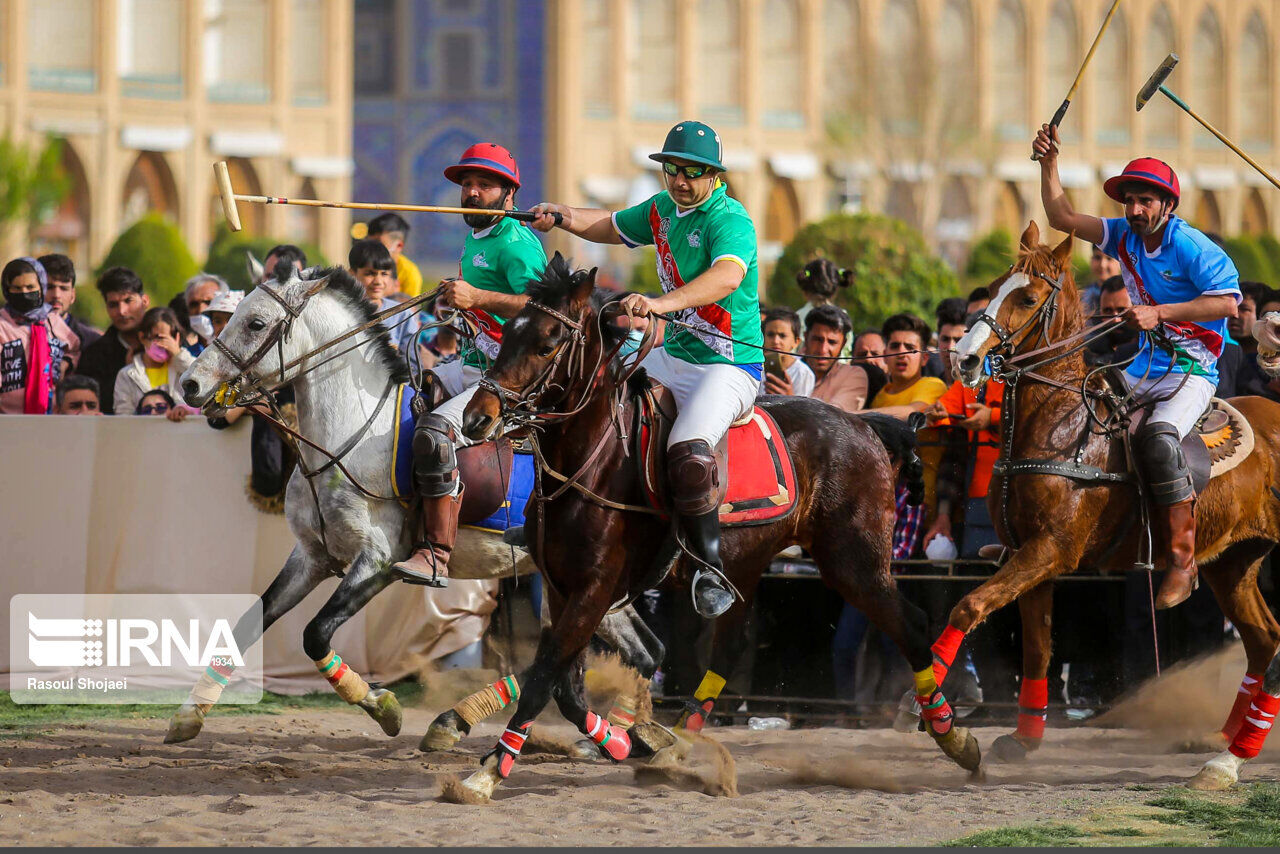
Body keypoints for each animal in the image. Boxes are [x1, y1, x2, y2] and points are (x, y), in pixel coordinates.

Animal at [445, 253, 972, 804]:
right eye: (506, 334)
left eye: (547, 343)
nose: (478, 419)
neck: (596, 462)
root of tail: (868, 425)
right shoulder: (561, 585)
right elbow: (563, 686)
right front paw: (619, 740)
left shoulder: (595, 588)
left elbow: (544, 677)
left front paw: (489, 771)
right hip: (747, 564)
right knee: (730, 645)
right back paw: (674, 744)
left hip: (854, 561)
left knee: (911, 623)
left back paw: (953, 735)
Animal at [942, 224, 1280, 793]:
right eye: (990, 288)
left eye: (1027, 298)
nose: (962, 360)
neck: (1058, 426)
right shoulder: (1028, 553)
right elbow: (1038, 647)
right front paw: (1023, 739)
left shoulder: (1052, 549)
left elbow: (968, 607)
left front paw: (948, 731)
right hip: (1234, 561)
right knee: (1264, 641)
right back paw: (1226, 750)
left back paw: (1227, 755)